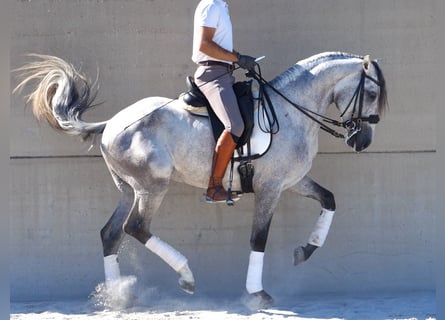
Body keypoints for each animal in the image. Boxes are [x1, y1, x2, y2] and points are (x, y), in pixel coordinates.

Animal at [13, 52, 386, 310]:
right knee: (136, 227)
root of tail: (112, 123)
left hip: (128, 190)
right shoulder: (270, 189)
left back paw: (118, 297)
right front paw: (257, 294)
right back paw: (186, 276)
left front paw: (304, 251)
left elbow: (329, 199)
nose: (362, 141)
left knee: (111, 234)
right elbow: (259, 238)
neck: (291, 111)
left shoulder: (292, 181)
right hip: (152, 187)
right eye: (370, 93)